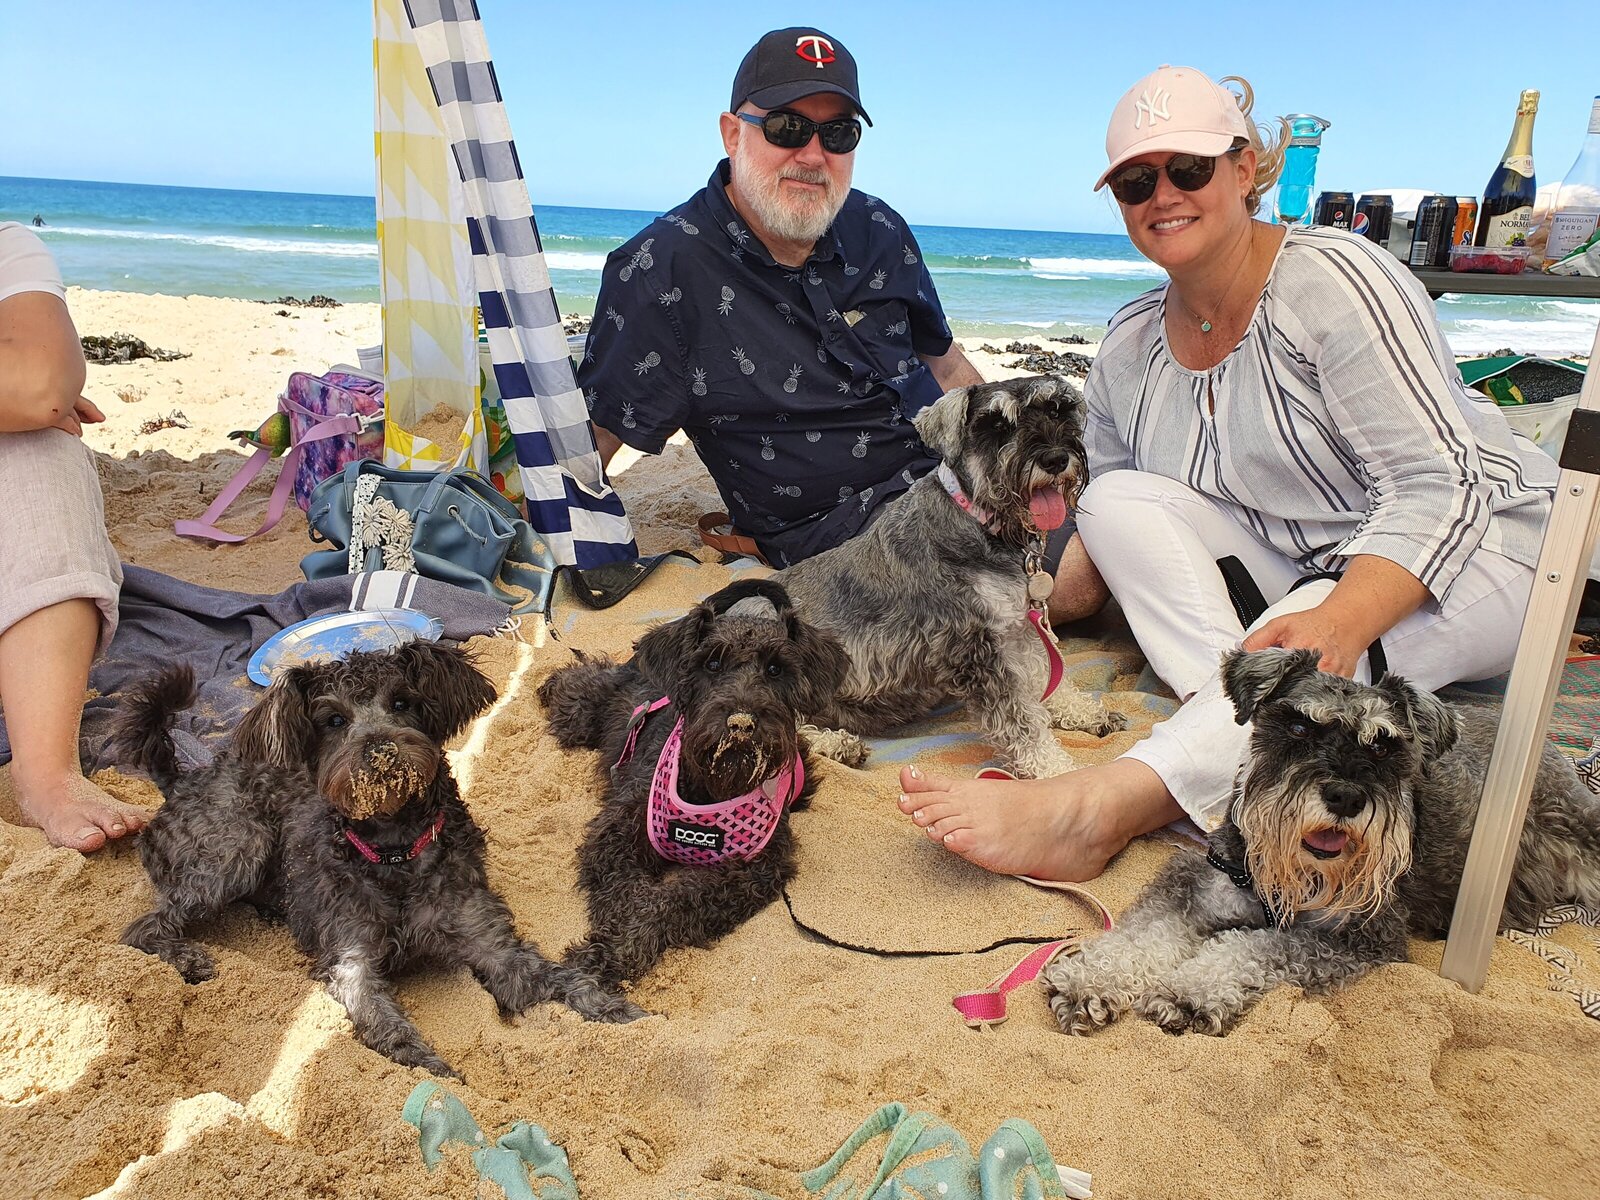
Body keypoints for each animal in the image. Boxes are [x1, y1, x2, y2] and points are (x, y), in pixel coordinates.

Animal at [111, 643, 643, 1075]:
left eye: (402, 703)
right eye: (333, 720)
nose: (380, 749)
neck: (394, 850)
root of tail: (181, 778)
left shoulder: (489, 940)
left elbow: (562, 979)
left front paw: (627, 1016)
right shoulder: (353, 959)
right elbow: (387, 1025)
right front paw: (430, 1067)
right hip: (237, 848)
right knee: (143, 927)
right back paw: (187, 956)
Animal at [537, 579, 851, 985]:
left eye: (776, 669)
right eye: (711, 664)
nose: (742, 723)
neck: (712, 785)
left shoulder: (750, 869)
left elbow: (677, 901)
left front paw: (615, 950)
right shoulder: (616, 838)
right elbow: (627, 893)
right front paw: (608, 951)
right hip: (582, 713)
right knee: (579, 678)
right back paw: (550, 683)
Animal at [771, 376, 1126, 780]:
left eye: (1056, 410)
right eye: (997, 425)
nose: (1055, 459)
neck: (979, 521)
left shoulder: (1018, 629)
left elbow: (1045, 676)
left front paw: (1082, 712)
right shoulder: (974, 649)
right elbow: (1020, 720)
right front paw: (1056, 773)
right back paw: (835, 744)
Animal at [1036, 652, 1600, 1036]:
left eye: (1385, 745)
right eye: (1300, 726)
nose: (1346, 796)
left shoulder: (1355, 937)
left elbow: (1256, 946)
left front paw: (1190, 991)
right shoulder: (1198, 885)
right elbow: (1144, 935)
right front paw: (1089, 981)